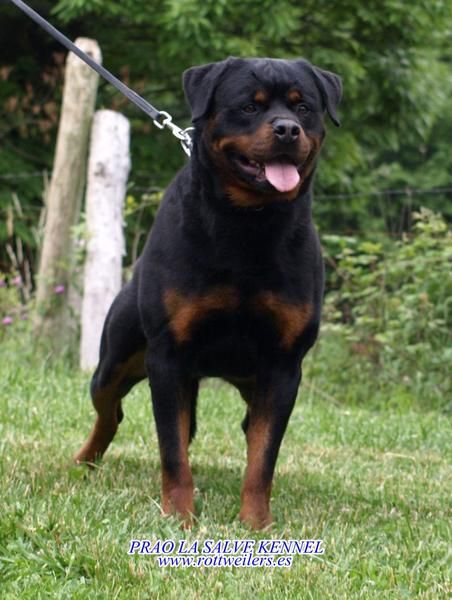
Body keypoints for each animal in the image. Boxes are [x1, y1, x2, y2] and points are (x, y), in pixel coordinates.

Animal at [76, 57, 340, 528]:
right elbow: (172, 450)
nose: (287, 129)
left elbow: (263, 456)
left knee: (245, 428)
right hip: (114, 363)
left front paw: (255, 523)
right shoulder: (168, 357)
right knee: (111, 412)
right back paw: (84, 462)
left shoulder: (283, 367)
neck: (248, 223)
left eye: (304, 107)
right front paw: (179, 518)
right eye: (249, 107)